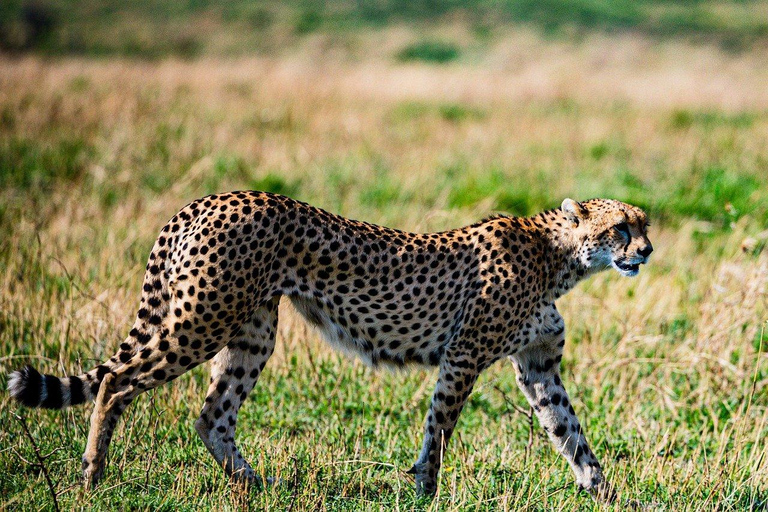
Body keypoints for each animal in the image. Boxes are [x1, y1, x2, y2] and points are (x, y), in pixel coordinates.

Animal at [7, 192, 656, 500]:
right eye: (619, 227)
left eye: (644, 224)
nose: (647, 251)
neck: (560, 257)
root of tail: (208, 199)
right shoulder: (465, 355)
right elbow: (440, 427)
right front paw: (425, 491)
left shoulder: (538, 366)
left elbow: (571, 433)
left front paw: (608, 494)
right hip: (203, 319)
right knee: (116, 381)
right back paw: (91, 476)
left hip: (252, 331)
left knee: (212, 414)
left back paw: (257, 487)